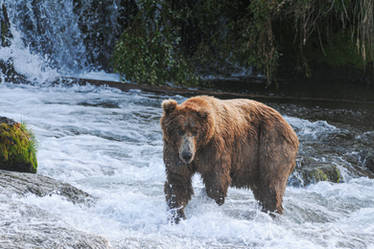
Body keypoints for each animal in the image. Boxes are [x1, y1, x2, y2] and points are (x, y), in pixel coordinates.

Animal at [159, 96, 300, 224]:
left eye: (195, 131)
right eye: (180, 130)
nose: (187, 155)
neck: (200, 147)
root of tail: (291, 129)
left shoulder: (216, 149)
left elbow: (217, 180)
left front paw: (208, 206)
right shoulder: (174, 150)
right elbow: (178, 180)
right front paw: (177, 215)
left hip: (271, 145)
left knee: (271, 187)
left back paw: (271, 215)